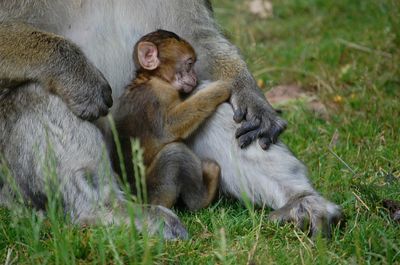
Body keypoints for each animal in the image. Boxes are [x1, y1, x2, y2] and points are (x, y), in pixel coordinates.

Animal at [112, 29, 231, 210]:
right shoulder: (156, 95)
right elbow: (168, 128)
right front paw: (218, 90)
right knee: (174, 154)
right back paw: (203, 197)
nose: (195, 77)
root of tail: (133, 198)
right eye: (189, 64)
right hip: (153, 193)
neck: (153, 78)